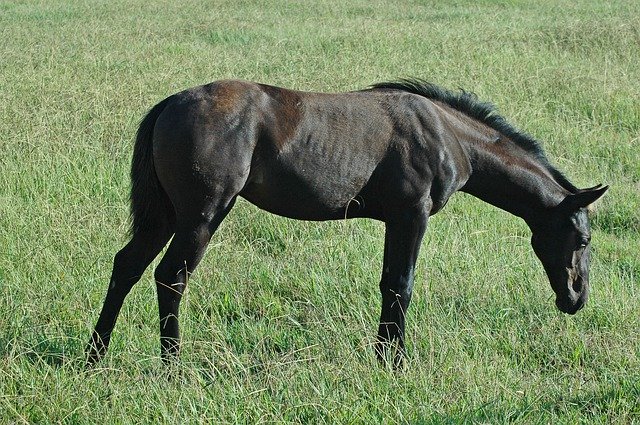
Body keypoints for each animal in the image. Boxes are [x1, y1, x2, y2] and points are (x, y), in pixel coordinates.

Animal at [86, 78, 608, 364]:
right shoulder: (411, 215)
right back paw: (172, 366)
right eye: (582, 239)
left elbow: (389, 284)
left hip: (165, 216)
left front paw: (384, 358)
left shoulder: (396, 220)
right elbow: (400, 286)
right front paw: (394, 364)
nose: (575, 298)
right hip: (202, 215)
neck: (446, 134)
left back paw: (96, 356)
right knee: (170, 276)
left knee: (127, 266)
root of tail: (169, 104)